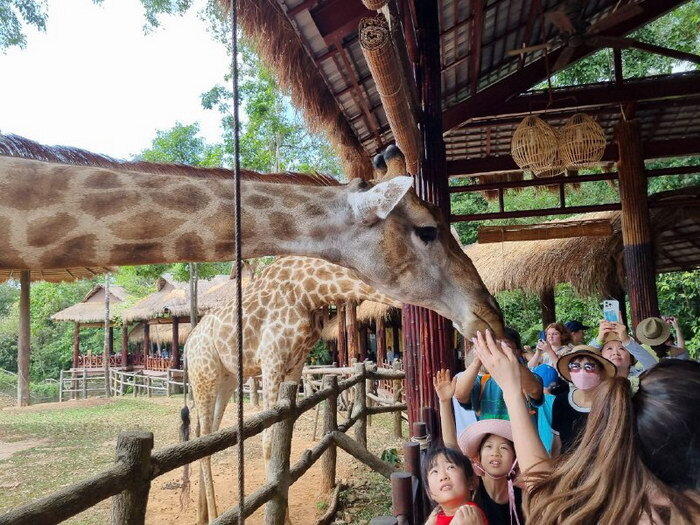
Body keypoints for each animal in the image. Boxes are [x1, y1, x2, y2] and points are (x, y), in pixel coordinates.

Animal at [185, 255, 402, 522]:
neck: (309, 291)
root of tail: (188, 344)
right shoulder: (271, 359)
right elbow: (269, 441)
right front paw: (280, 517)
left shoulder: (295, 365)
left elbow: (284, 437)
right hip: (204, 375)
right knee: (203, 437)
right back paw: (214, 515)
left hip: (226, 381)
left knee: (205, 435)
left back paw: (202, 515)